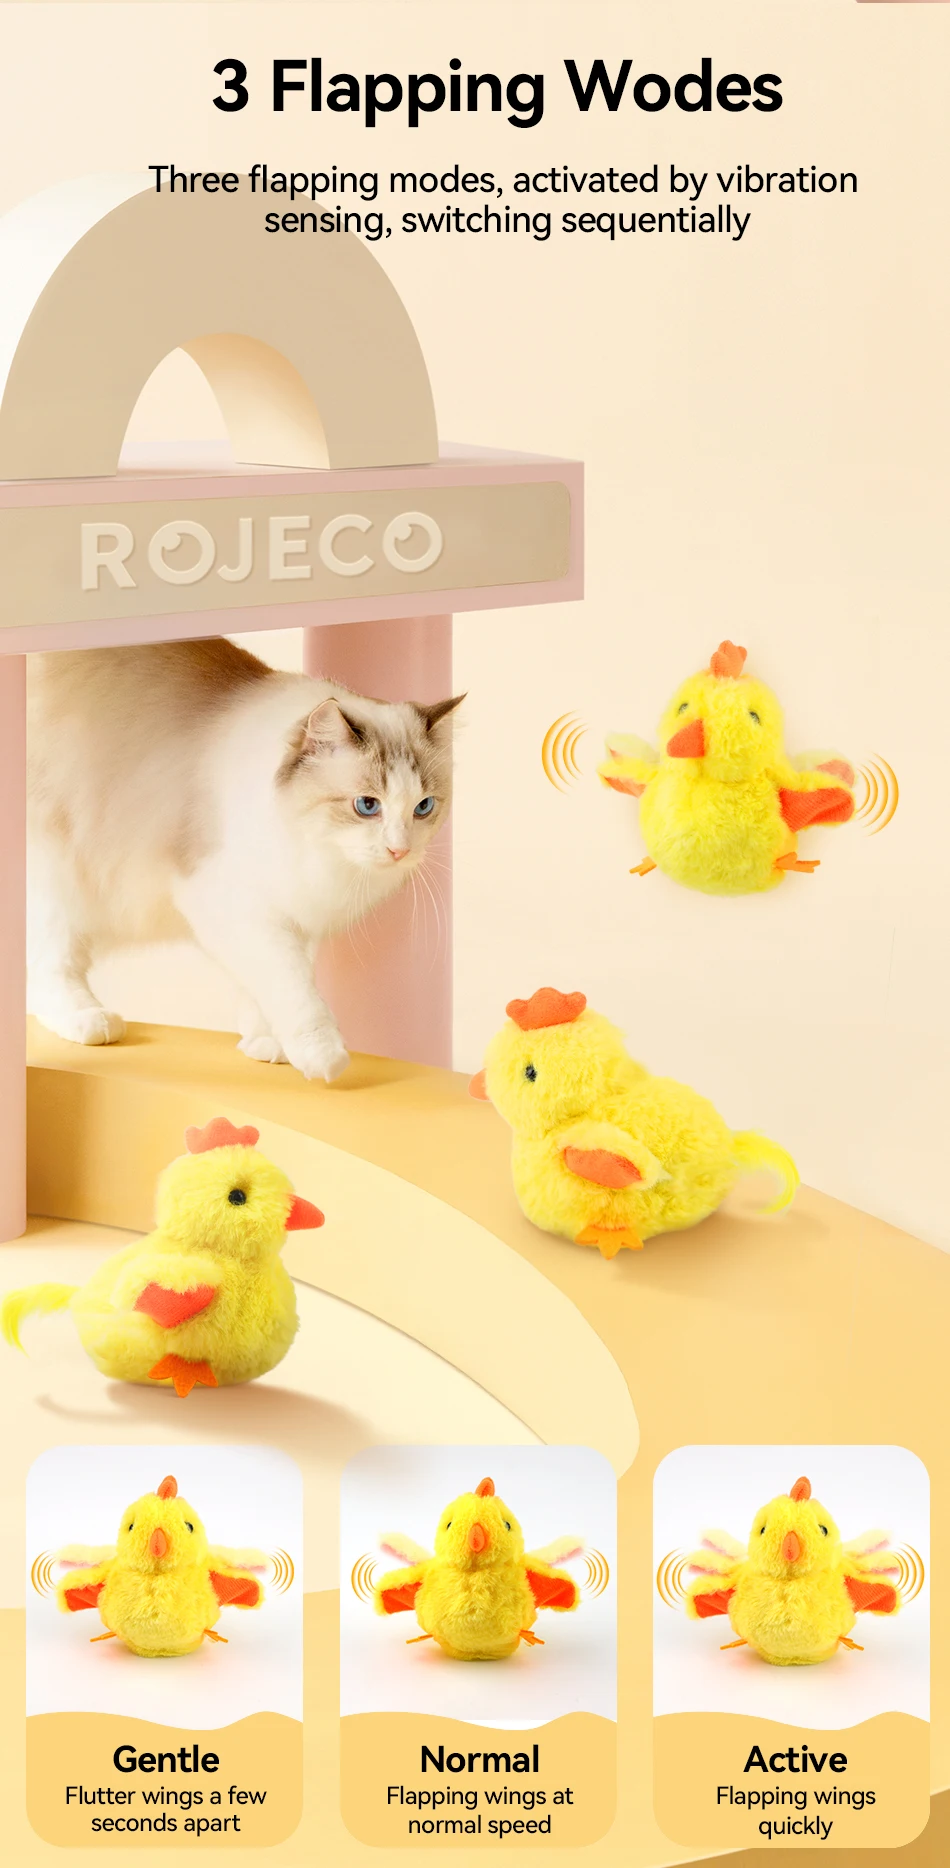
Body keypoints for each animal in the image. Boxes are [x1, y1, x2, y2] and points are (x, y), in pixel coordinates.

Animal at [27, 638, 462, 1081]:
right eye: (367, 805)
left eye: (423, 807)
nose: (400, 850)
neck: (317, 850)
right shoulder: (232, 906)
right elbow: (292, 989)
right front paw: (322, 1057)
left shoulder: (288, 917)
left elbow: (261, 987)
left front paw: (267, 1044)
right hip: (56, 877)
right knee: (47, 971)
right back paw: (89, 1021)